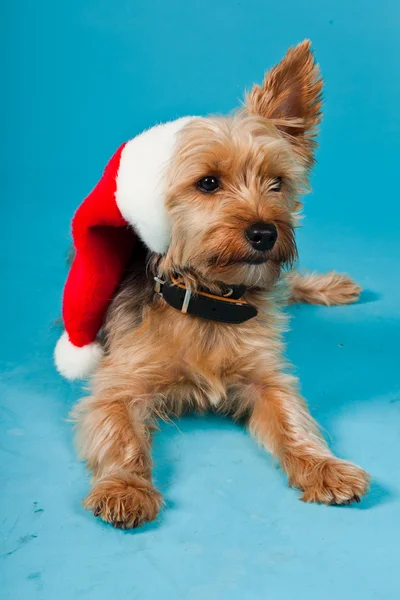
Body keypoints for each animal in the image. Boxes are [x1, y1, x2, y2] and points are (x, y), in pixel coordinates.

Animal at [70, 42, 370, 528]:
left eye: (277, 183)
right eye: (208, 183)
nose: (266, 233)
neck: (210, 298)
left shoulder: (267, 379)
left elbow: (293, 420)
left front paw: (324, 467)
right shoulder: (118, 385)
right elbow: (120, 435)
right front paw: (126, 487)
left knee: (289, 285)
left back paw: (331, 286)